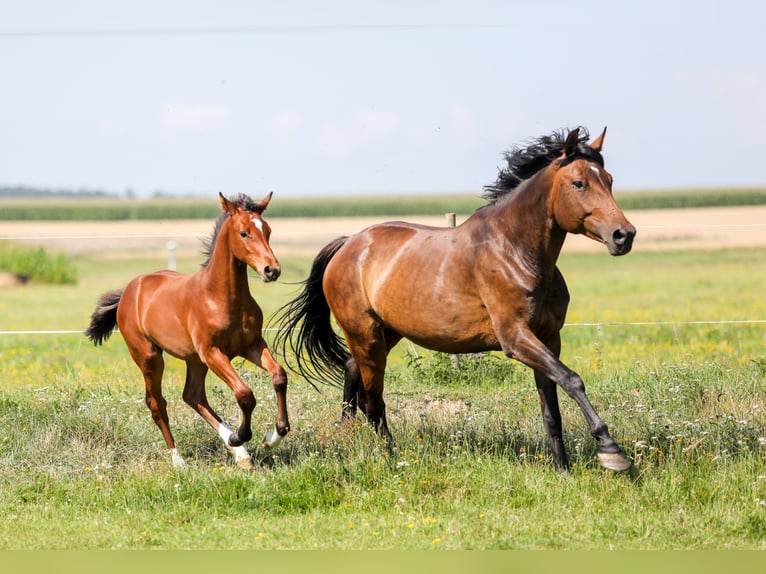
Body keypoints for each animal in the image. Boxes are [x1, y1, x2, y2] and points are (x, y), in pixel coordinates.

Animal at [86, 194, 292, 472]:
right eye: (244, 233)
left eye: (268, 231)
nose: (272, 270)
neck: (221, 298)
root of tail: (130, 289)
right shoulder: (213, 352)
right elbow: (245, 394)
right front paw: (241, 436)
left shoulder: (252, 346)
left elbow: (279, 376)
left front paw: (274, 436)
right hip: (150, 357)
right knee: (157, 403)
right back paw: (180, 460)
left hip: (194, 360)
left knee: (193, 395)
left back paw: (239, 453)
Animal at [274, 128, 636, 474]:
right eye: (578, 183)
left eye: (609, 180)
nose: (624, 235)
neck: (516, 252)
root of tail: (348, 243)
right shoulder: (516, 338)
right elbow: (573, 380)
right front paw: (611, 452)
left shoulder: (549, 338)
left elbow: (553, 409)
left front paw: (563, 470)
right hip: (365, 335)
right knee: (373, 401)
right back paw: (392, 458)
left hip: (386, 333)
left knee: (354, 375)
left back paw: (354, 438)